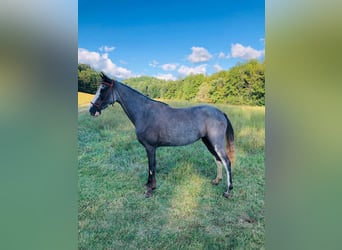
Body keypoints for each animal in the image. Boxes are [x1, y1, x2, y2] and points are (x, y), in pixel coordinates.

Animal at [89, 73, 235, 199]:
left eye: (102, 90)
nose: (91, 110)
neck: (144, 113)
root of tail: (220, 113)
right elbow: (150, 167)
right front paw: (148, 185)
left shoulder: (150, 147)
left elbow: (152, 167)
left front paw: (150, 190)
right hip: (208, 142)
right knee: (217, 159)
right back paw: (216, 180)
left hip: (216, 143)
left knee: (227, 161)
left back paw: (228, 191)